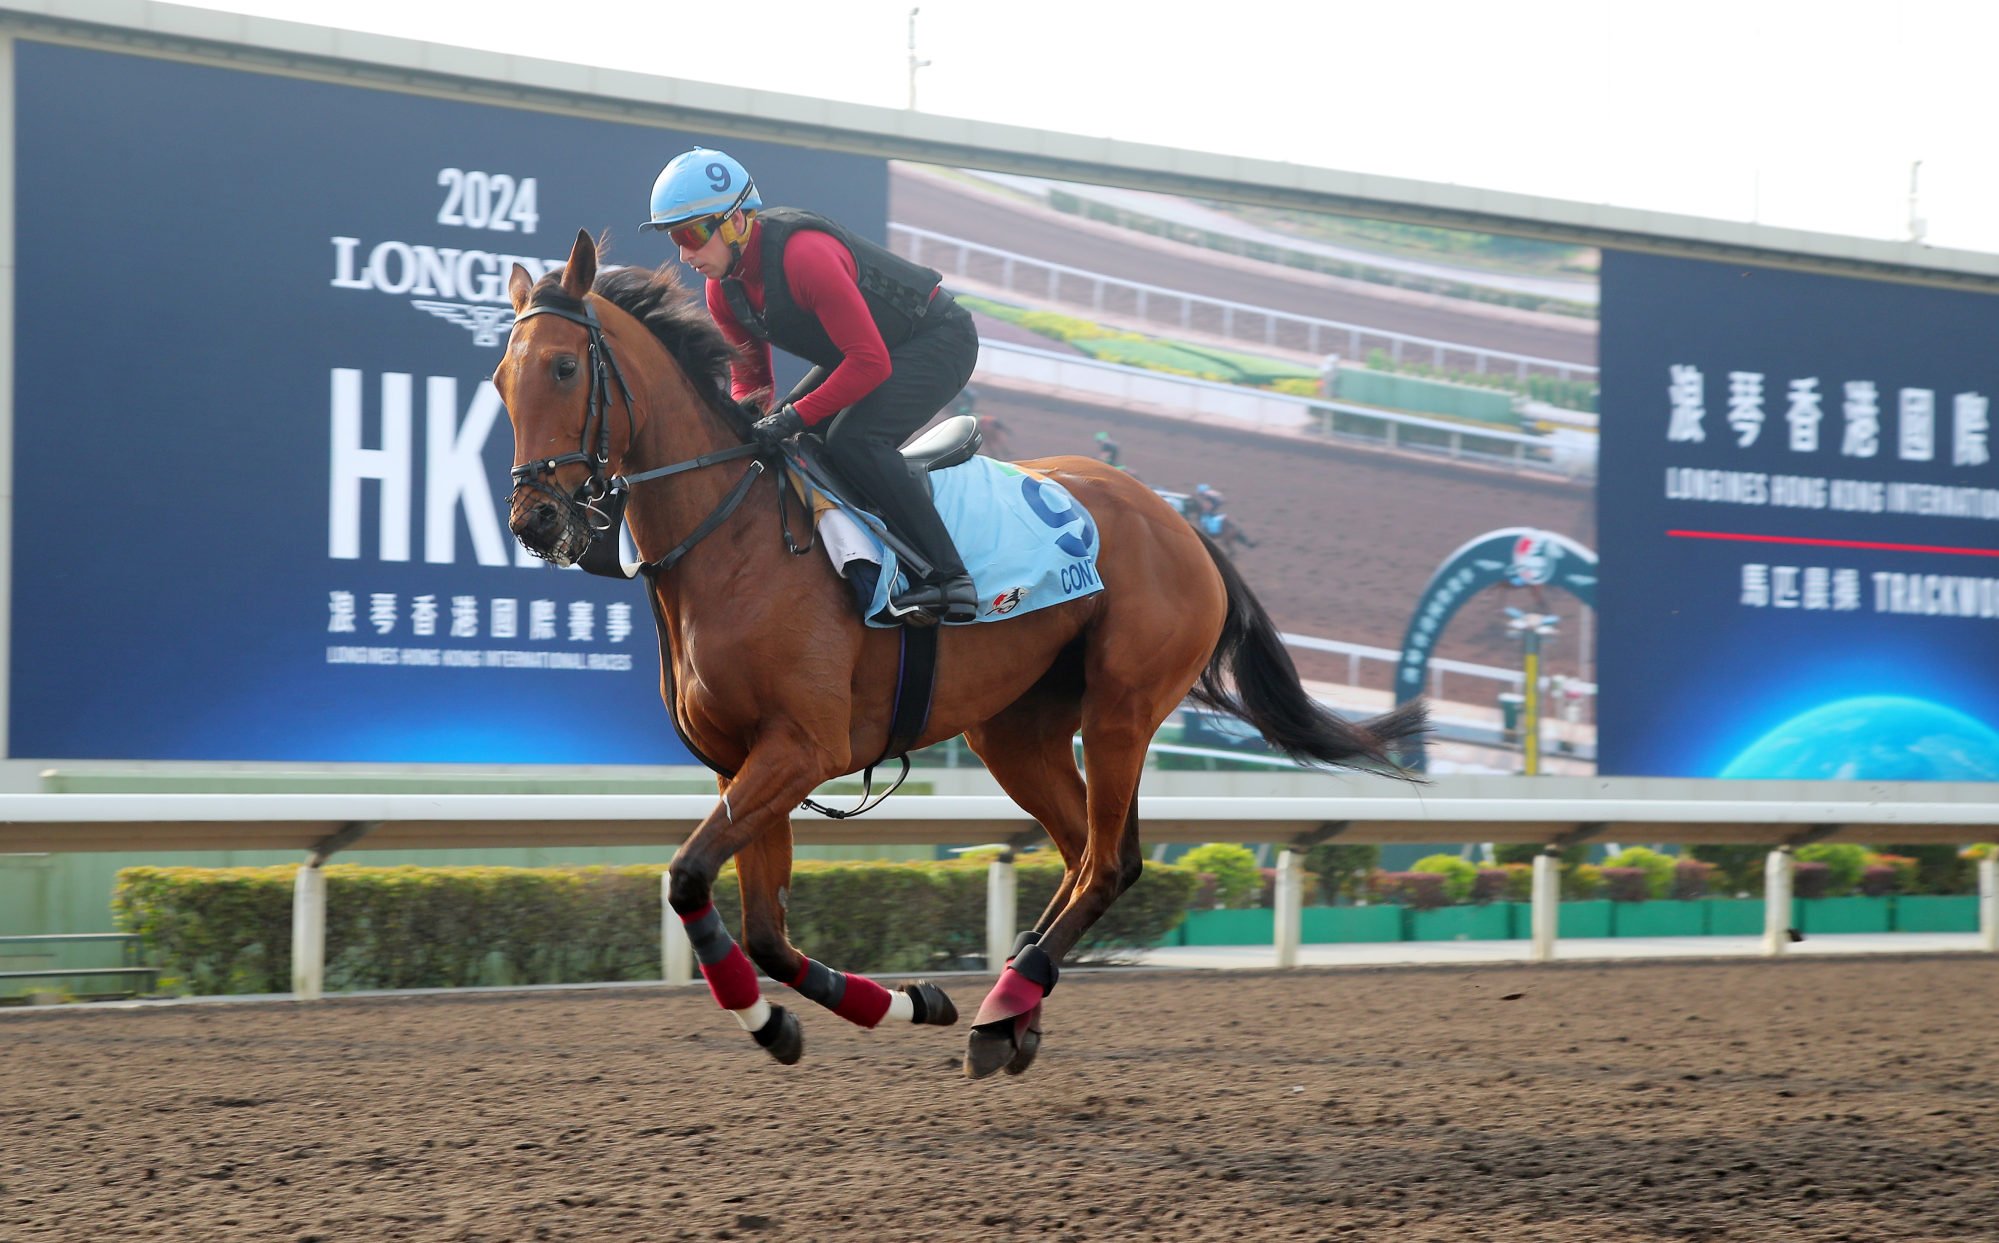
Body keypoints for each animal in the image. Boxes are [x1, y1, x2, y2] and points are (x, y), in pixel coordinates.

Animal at [503, 231, 1439, 1079]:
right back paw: (1015, 1006)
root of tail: (1179, 525)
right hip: (1016, 730)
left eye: (564, 368)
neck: (734, 540)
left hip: (1121, 707)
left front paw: (791, 1019)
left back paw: (1004, 1005)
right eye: (500, 380)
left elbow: (689, 876)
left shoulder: (800, 748)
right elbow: (766, 929)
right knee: (1085, 853)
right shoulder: (742, 761)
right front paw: (891, 1003)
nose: (535, 520)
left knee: (1108, 861)